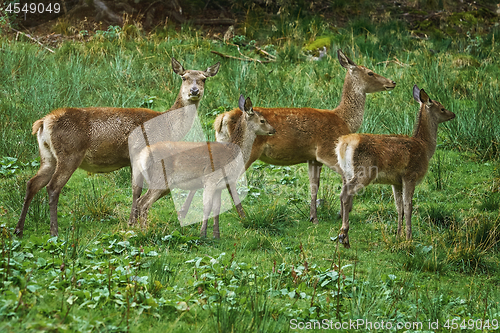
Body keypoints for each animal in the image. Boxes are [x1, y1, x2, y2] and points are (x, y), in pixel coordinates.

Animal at [14, 58, 219, 237]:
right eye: (184, 77)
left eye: (204, 78)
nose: (194, 91)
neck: (167, 127)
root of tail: (43, 123)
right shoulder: (138, 152)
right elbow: (136, 189)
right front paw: (132, 222)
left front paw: (132, 221)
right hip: (69, 154)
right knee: (53, 187)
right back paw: (54, 231)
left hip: (48, 155)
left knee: (32, 183)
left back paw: (19, 229)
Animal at [131, 94, 276, 237]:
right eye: (262, 120)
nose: (273, 130)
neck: (231, 155)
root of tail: (143, 156)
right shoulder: (210, 180)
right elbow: (207, 207)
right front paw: (202, 234)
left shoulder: (220, 186)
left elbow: (217, 208)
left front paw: (216, 236)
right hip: (160, 179)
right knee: (144, 202)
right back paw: (145, 231)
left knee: (140, 200)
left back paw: (139, 229)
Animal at [205, 49, 396, 224]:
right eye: (370, 72)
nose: (392, 82)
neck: (344, 120)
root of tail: (221, 119)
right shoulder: (326, 150)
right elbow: (346, 177)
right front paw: (342, 212)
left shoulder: (313, 158)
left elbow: (314, 186)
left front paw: (313, 217)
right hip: (247, 151)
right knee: (231, 180)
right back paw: (243, 216)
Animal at [336, 84, 458, 248]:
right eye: (442, 108)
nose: (453, 114)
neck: (425, 147)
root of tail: (344, 144)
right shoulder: (410, 175)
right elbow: (408, 206)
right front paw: (409, 237)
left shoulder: (396, 181)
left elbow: (399, 206)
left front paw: (398, 235)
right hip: (364, 170)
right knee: (346, 193)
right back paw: (344, 234)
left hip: (347, 172)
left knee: (343, 193)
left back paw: (344, 236)